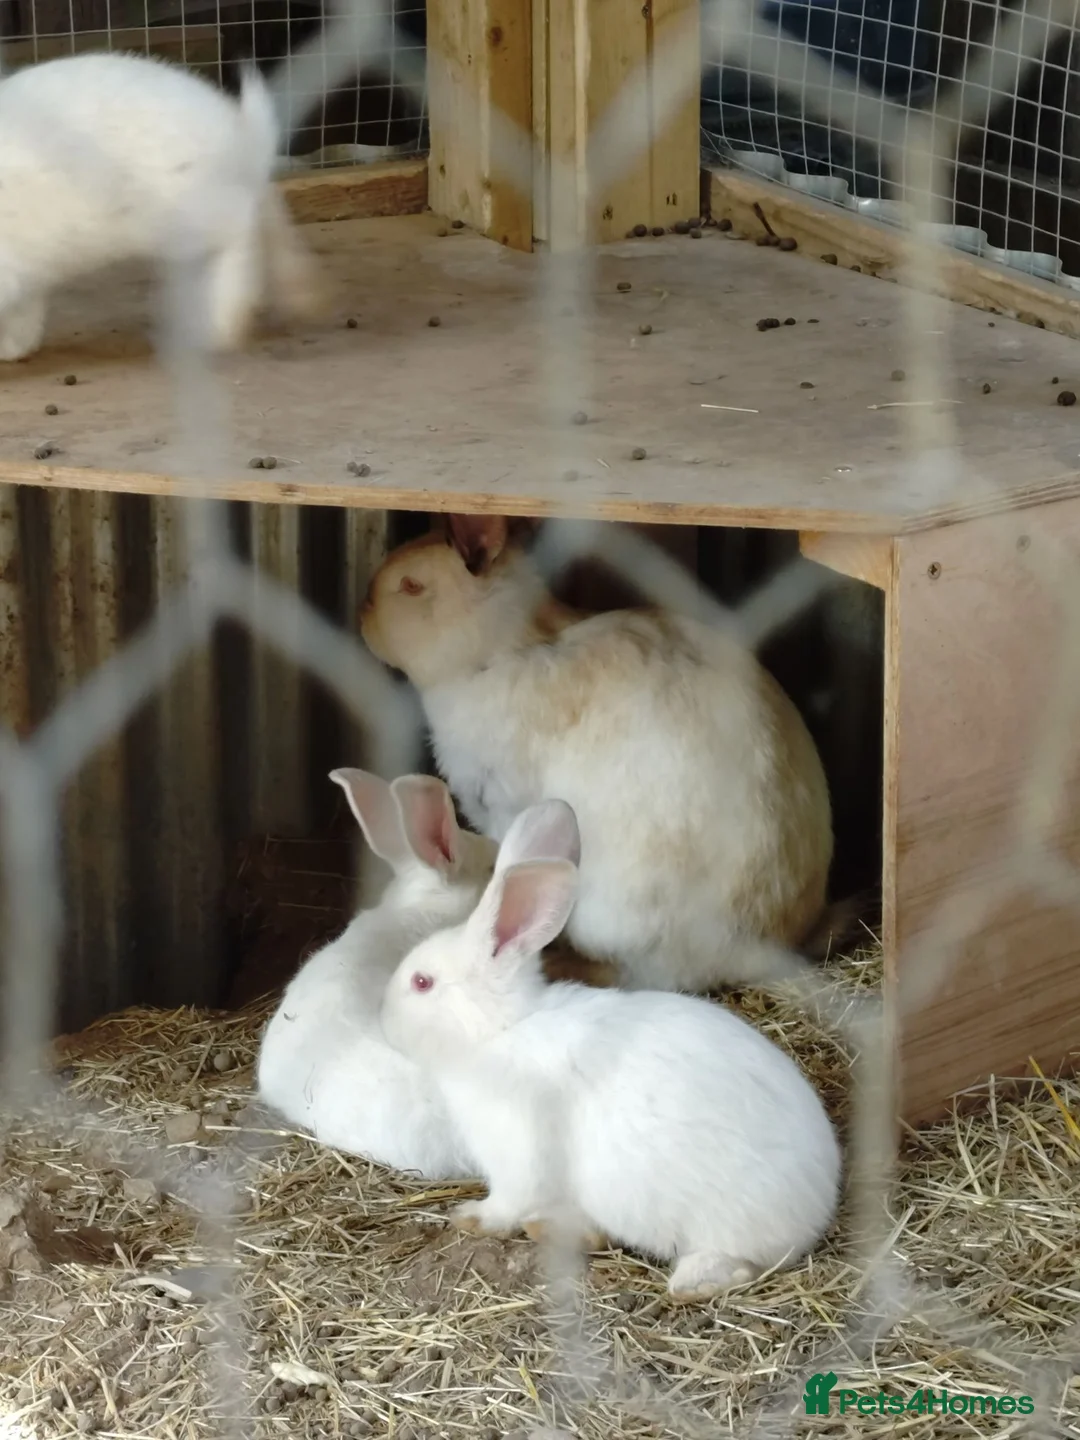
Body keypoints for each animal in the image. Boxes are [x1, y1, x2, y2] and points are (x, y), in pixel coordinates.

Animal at [380, 799, 843, 1299]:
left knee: (736, 1264)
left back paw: (689, 1283)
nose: (384, 1021)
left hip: (721, 1223)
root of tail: (818, 1206)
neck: (501, 1030)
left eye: (422, 983)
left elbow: (505, 1204)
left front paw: (470, 1218)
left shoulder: (517, 1163)